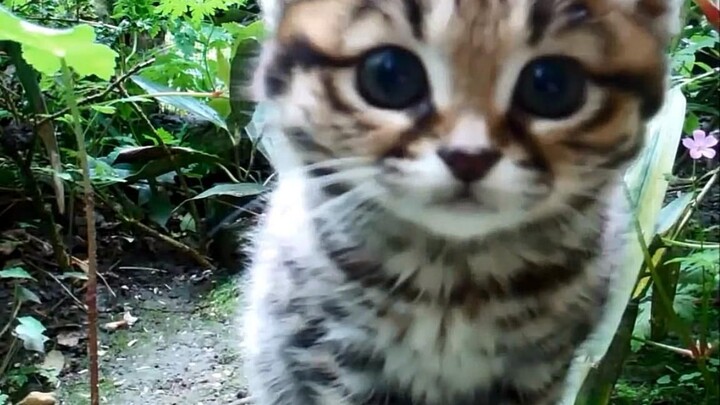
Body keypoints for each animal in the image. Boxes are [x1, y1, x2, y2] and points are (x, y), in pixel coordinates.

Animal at [243, 1, 680, 402]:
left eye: (551, 84)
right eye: (388, 74)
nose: (469, 156)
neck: (451, 285)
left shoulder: (541, 367)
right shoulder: (332, 353)